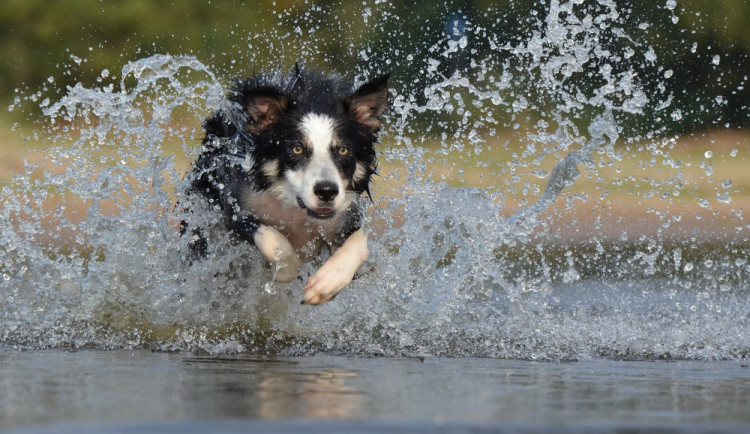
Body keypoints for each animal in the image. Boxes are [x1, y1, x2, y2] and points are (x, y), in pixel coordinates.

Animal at [184, 67, 390, 306]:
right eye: (297, 148)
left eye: (343, 150)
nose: (327, 191)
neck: (295, 208)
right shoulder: (236, 206)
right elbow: (273, 239)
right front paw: (286, 269)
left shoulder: (345, 215)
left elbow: (359, 243)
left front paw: (326, 283)